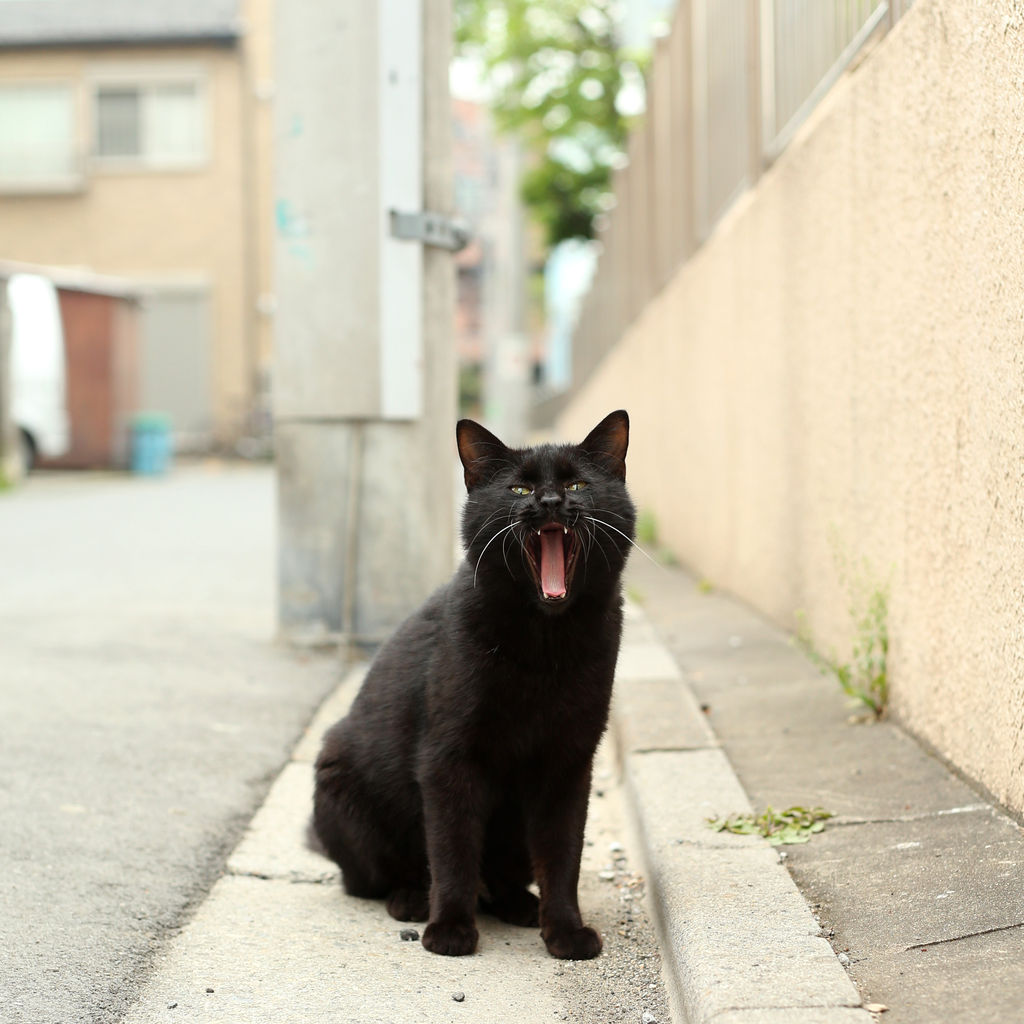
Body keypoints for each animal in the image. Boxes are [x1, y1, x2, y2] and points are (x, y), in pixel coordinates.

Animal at [307, 409, 634, 958]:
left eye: (577, 484)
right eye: (520, 489)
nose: (551, 501)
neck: (544, 645)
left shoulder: (568, 763)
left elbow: (563, 855)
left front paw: (565, 931)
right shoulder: (448, 758)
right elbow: (453, 849)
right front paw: (450, 929)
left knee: (502, 877)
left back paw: (520, 905)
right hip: (340, 784)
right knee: (378, 877)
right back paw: (413, 900)